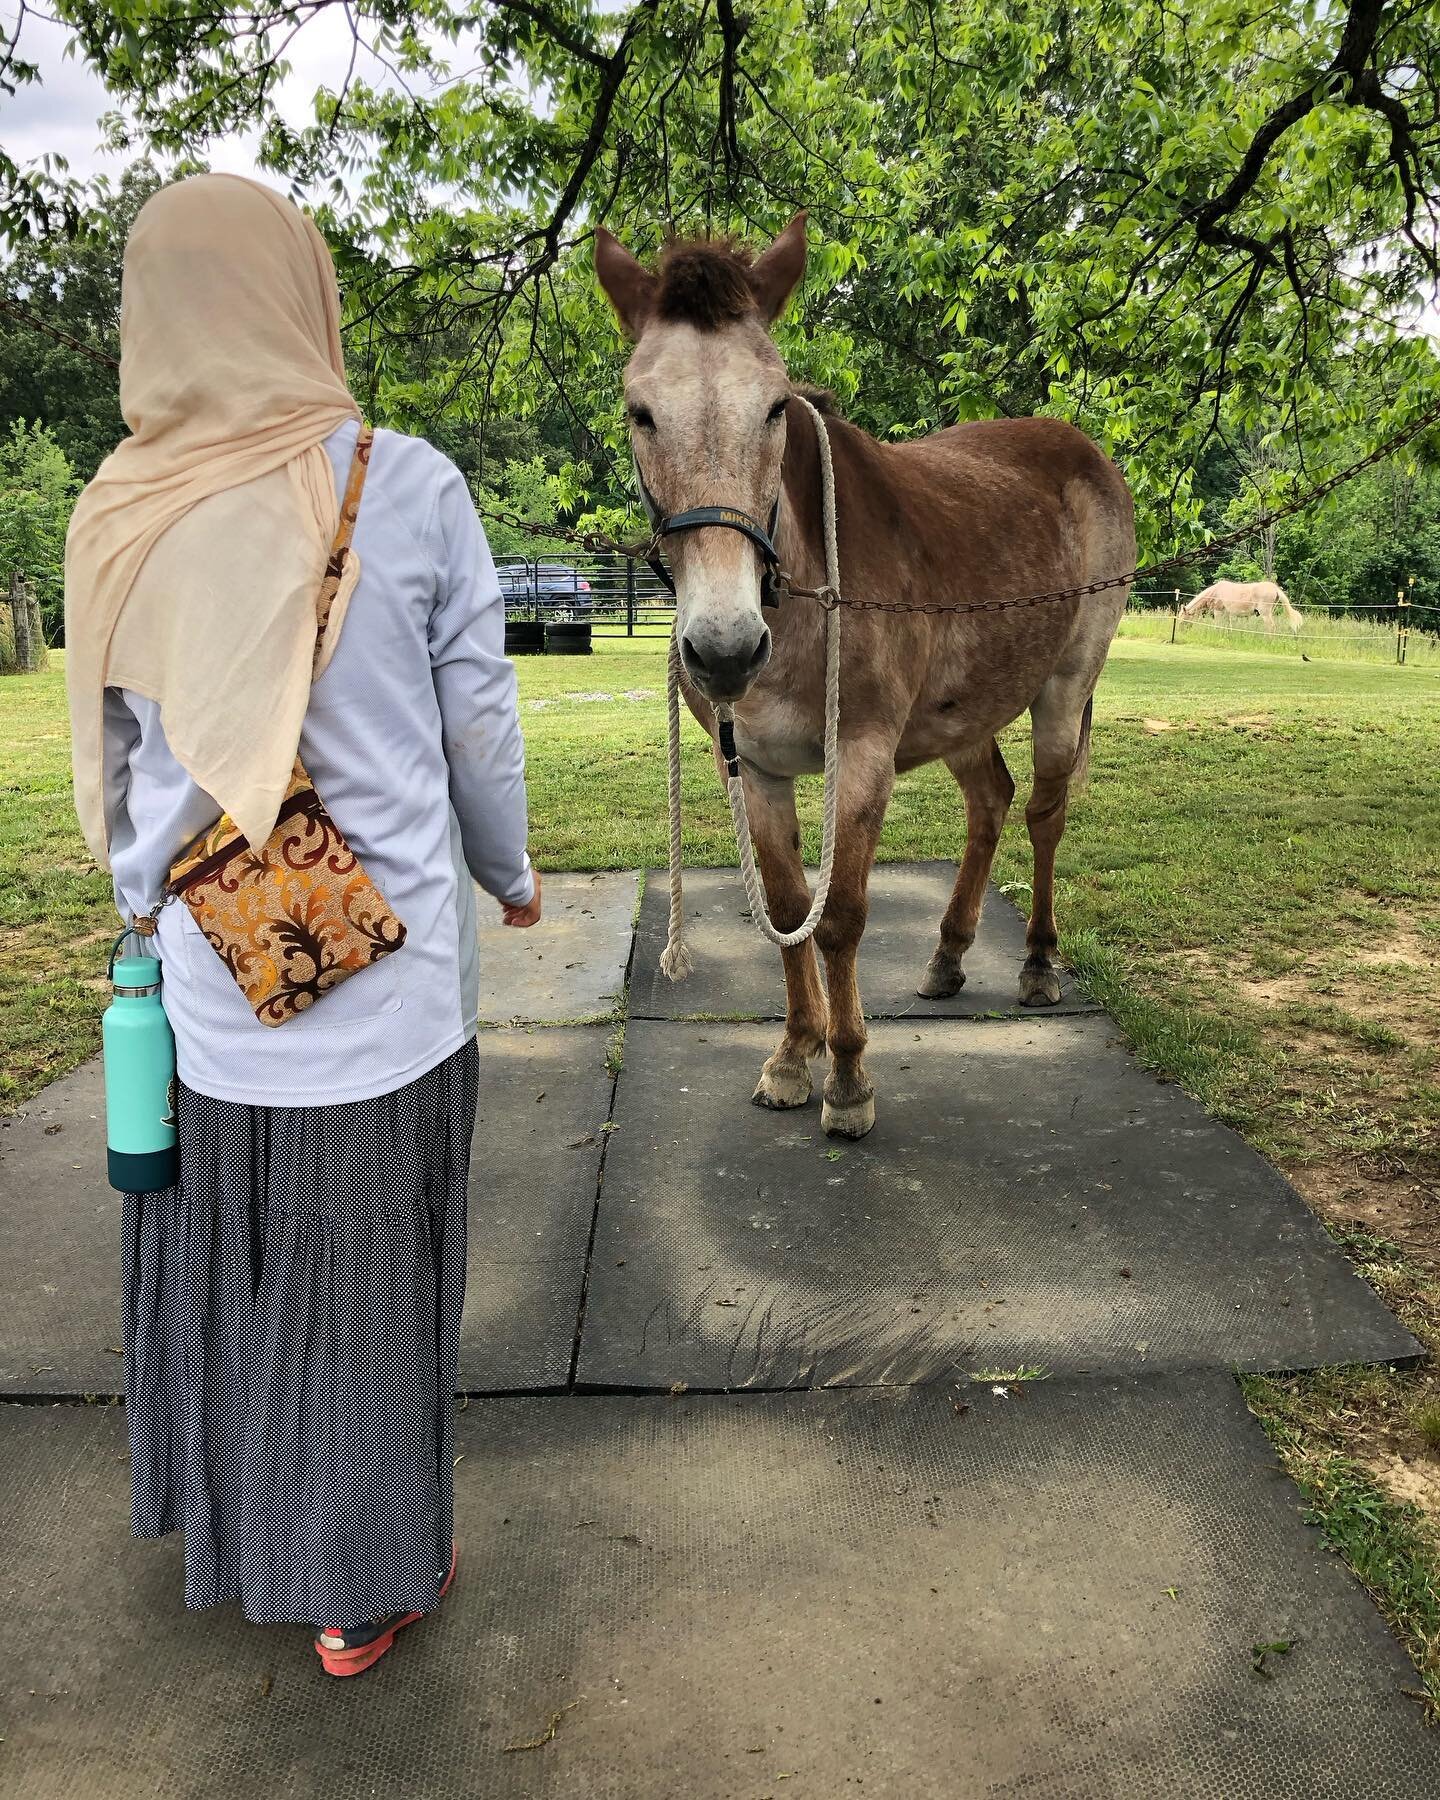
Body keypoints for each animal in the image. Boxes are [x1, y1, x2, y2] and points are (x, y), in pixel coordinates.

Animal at [597, 214, 1137, 1137]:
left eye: (777, 405)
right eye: (641, 412)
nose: (726, 649)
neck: (803, 599)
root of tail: (1082, 451)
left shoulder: (864, 755)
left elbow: (841, 916)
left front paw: (848, 1076)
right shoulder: (754, 768)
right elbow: (787, 912)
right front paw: (793, 1054)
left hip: (1064, 692)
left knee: (1044, 815)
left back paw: (1036, 962)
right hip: (964, 711)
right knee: (990, 802)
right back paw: (949, 955)